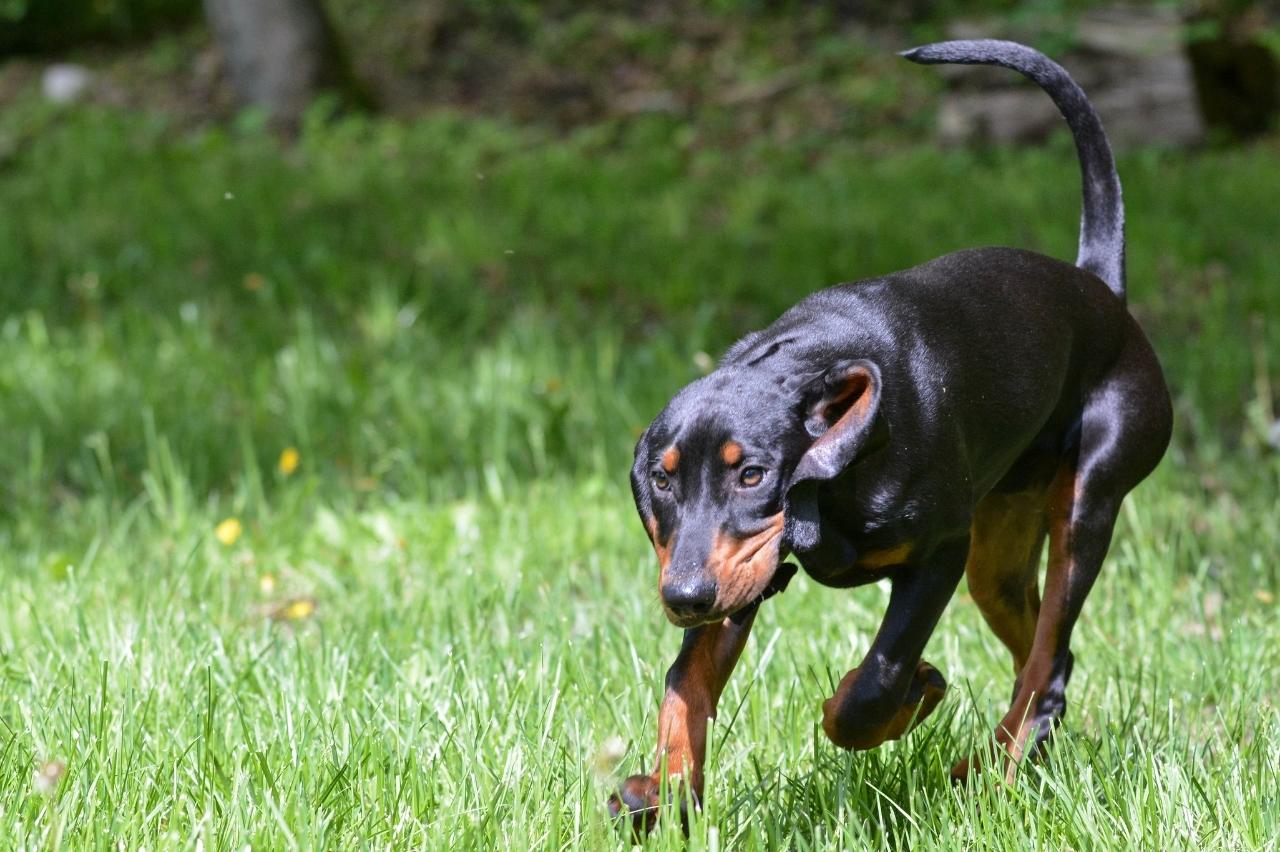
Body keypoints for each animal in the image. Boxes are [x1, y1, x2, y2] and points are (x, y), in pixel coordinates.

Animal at [606, 39, 1172, 828]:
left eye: (751, 474)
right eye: (661, 479)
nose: (683, 596)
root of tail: (1102, 292)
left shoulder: (937, 552)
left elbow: (877, 678)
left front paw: (911, 693)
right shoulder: (739, 576)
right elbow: (684, 684)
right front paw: (662, 790)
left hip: (1086, 501)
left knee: (1049, 655)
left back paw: (995, 773)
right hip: (997, 555)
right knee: (1049, 655)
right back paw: (989, 765)